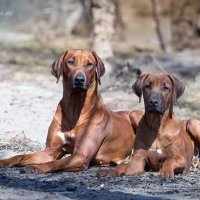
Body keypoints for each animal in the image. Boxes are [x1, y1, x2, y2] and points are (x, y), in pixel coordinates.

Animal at [0, 49, 142, 173]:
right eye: (70, 62)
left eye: (89, 64)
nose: (79, 80)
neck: (75, 106)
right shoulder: (50, 150)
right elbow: (21, 156)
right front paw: (4, 161)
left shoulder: (81, 155)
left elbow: (56, 162)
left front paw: (36, 167)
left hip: (135, 114)